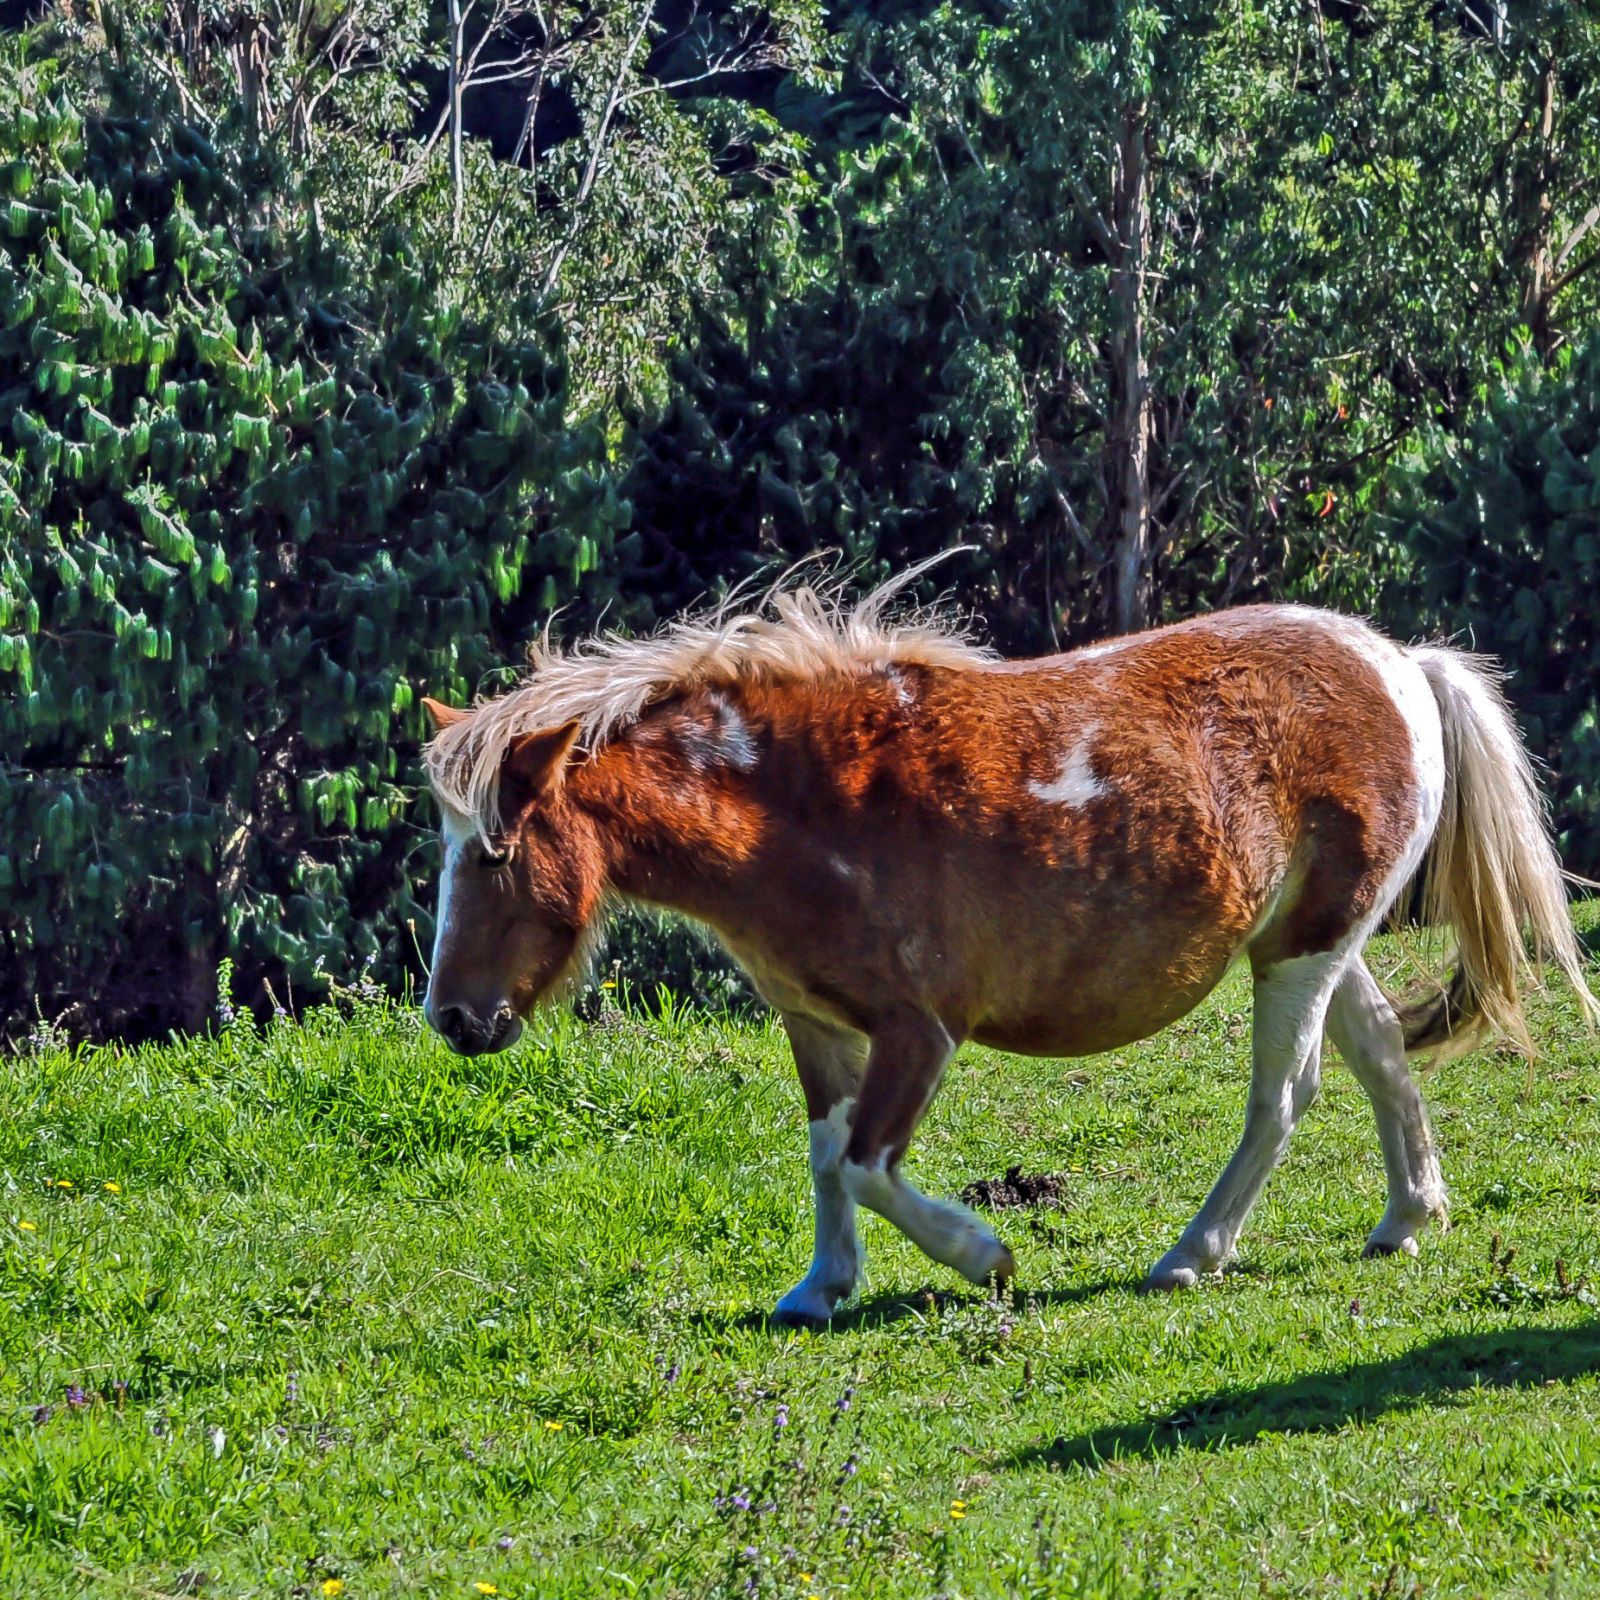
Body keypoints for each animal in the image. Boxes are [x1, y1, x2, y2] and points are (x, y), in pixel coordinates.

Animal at [419, 569, 1593, 1318]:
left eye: (494, 853)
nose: (456, 1019)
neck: (794, 808)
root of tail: (1400, 661)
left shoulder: (918, 1030)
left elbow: (868, 1165)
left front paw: (982, 1254)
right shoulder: (814, 1023)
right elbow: (826, 1153)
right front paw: (820, 1288)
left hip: (1302, 952)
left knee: (1285, 1095)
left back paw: (1192, 1254)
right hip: (1309, 940)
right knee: (1380, 1050)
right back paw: (1406, 1216)